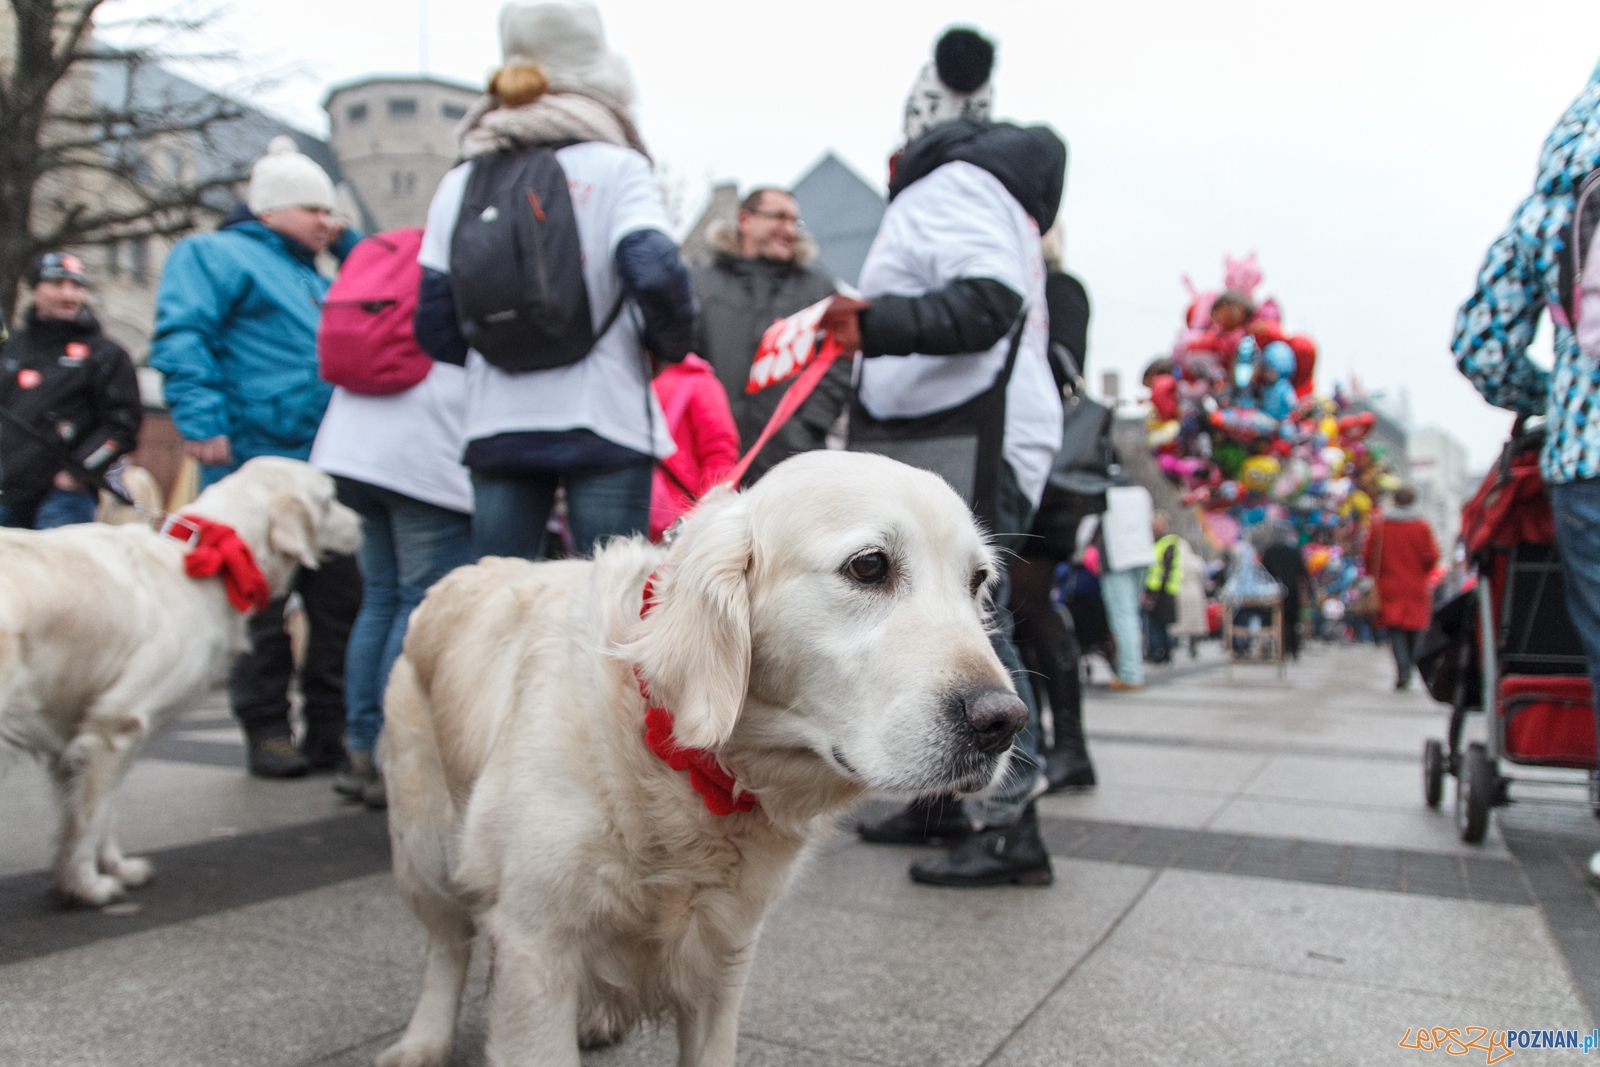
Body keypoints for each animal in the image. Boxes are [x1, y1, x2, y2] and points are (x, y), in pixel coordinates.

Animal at [0, 454, 363, 908]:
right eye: (331, 499)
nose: (363, 523)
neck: (213, 560)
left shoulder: (81, 734)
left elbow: (97, 812)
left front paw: (113, 868)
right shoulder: (118, 724)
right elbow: (90, 816)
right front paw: (88, 885)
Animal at [377, 451, 1024, 1067]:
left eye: (978, 581)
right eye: (869, 566)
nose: (1005, 721)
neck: (675, 757)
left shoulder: (725, 949)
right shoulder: (536, 945)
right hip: (422, 844)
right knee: (447, 944)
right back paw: (423, 1041)